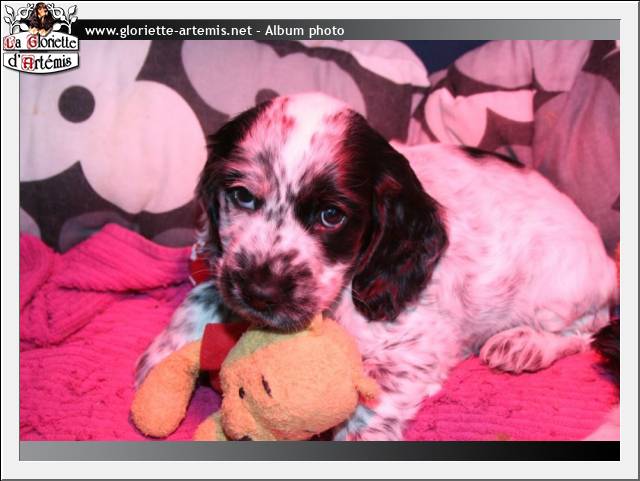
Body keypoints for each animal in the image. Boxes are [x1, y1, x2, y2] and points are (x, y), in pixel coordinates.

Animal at [135, 93, 617, 441]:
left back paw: (525, 345)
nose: (261, 292)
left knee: (586, 329)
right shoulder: (226, 267)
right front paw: (161, 361)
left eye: (332, 216)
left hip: (557, 290)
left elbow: (367, 405)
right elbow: (205, 291)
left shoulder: (415, 348)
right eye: (242, 196)